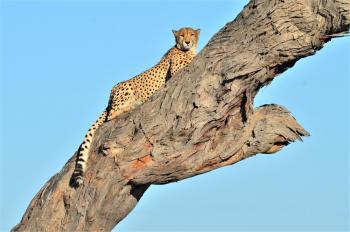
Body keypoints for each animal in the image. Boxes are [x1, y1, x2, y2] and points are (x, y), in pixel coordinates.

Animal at [72, 27, 200, 187]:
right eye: (182, 35)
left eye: (192, 34)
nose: (187, 42)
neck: (183, 49)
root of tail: (111, 93)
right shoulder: (175, 70)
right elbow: (188, 61)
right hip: (125, 88)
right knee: (110, 115)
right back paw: (129, 107)